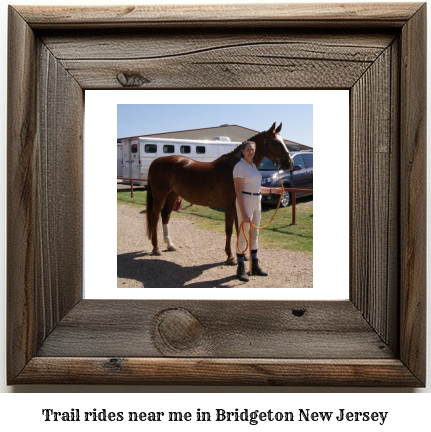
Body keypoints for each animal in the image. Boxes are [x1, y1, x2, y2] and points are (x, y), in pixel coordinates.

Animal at [147, 121, 296, 264]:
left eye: (283, 140)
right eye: (275, 141)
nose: (289, 163)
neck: (234, 168)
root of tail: (155, 161)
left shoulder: (238, 206)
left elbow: (238, 228)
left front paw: (242, 255)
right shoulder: (229, 206)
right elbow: (229, 230)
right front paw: (230, 257)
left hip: (172, 195)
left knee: (165, 215)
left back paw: (169, 245)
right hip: (160, 195)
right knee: (155, 216)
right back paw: (156, 248)